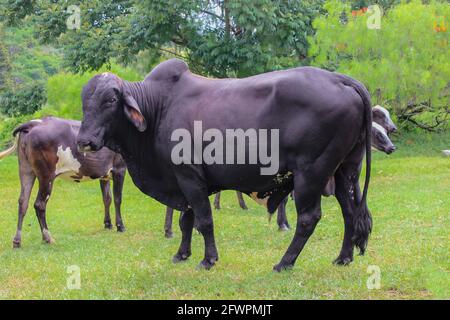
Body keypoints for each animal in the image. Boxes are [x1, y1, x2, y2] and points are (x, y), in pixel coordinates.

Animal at [0, 117, 126, 248]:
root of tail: (33, 123)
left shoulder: (103, 174)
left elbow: (107, 198)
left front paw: (108, 224)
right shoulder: (119, 169)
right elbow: (117, 199)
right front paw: (120, 226)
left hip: (26, 170)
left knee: (23, 202)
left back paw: (17, 241)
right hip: (47, 176)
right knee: (39, 204)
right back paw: (48, 238)